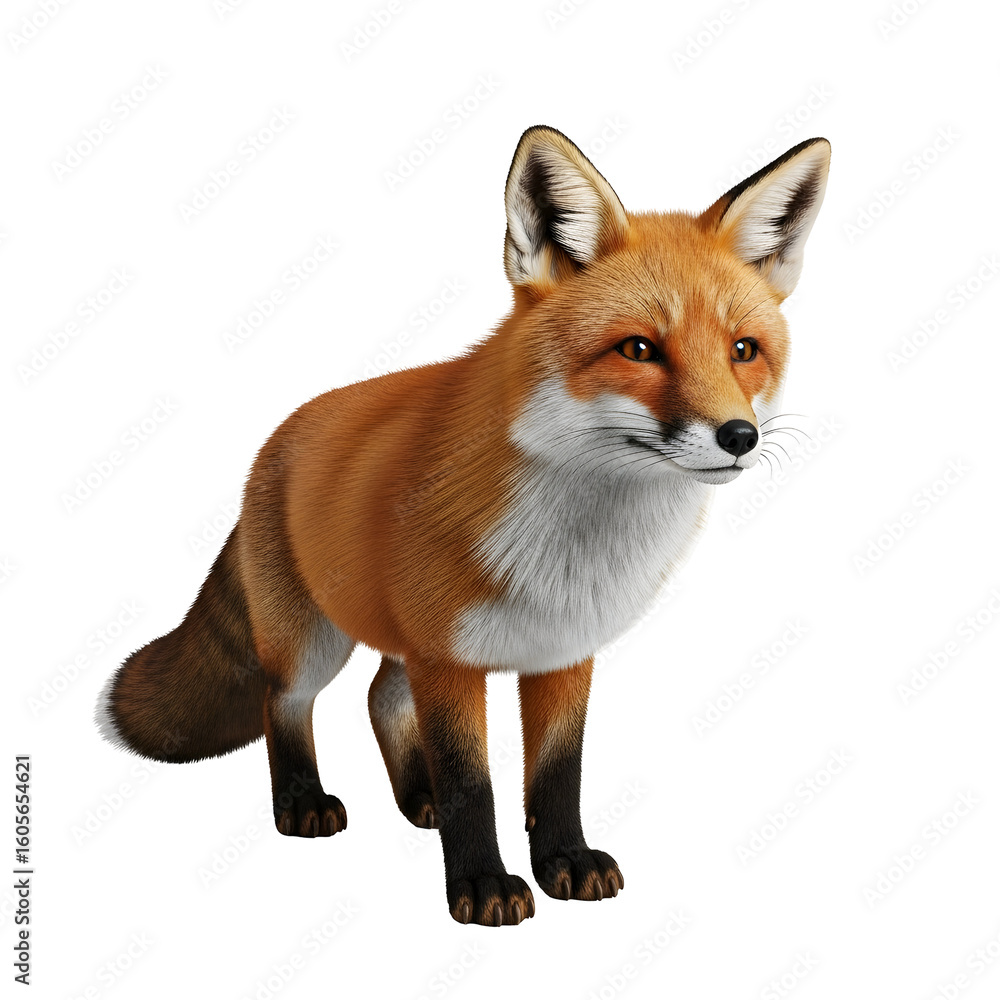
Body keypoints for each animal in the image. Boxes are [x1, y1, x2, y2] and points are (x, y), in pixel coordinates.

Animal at [97, 125, 830, 925]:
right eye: (639, 349)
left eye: (743, 351)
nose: (739, 436)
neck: (571, 553)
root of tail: (280, 436)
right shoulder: (448, 661)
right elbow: (472, 783)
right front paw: (481, 886)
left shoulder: (560, 654)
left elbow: (557, 774)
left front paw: (565, 861)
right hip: (315, 642)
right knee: (284, 702)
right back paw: (303, 803)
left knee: (381, 697)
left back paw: (417, 799)